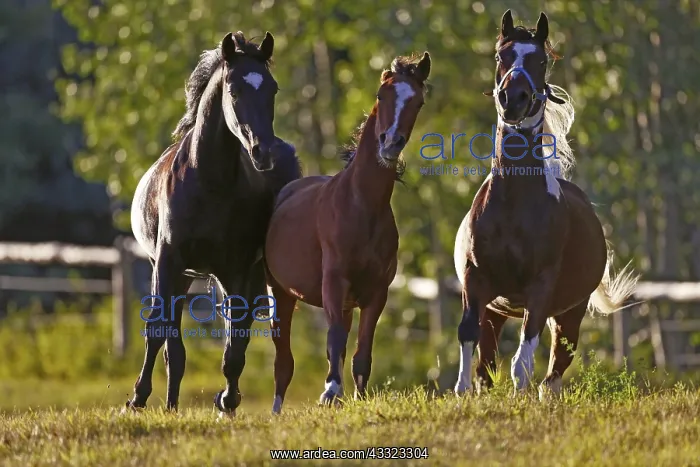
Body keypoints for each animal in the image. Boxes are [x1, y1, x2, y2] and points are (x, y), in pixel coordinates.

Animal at [125, 31, 302, 414]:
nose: (263, 152)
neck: (209, 183)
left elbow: (235, 345)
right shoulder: (168, 261)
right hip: (176, 272)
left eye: (273, 89)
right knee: (169, 343)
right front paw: (139, 399)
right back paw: (164, 403)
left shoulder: (236, 268)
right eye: (234, 90)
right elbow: (159, 333)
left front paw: (227, 400)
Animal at [262, 52, 431, 414]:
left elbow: (361, 352)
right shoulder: (334, 282)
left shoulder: (376, 293)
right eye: (382, 95)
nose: (390, 143)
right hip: (280, 292)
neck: (361, 208)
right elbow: (335, 339)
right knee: (283, 360)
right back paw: (277, 410)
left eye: (419, 102)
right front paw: (330, 392)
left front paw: (358, 397)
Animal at [452, 10, 638, 399]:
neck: (513, 207)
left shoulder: (540, 290)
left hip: (570, 313)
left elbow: (522, 360)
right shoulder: (476, 283)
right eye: (501, 56)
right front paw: (462, 393)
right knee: (487, 363)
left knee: (552, 373)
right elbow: (469, 340)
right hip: (497, 311)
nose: (513, 99)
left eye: (540, 60)